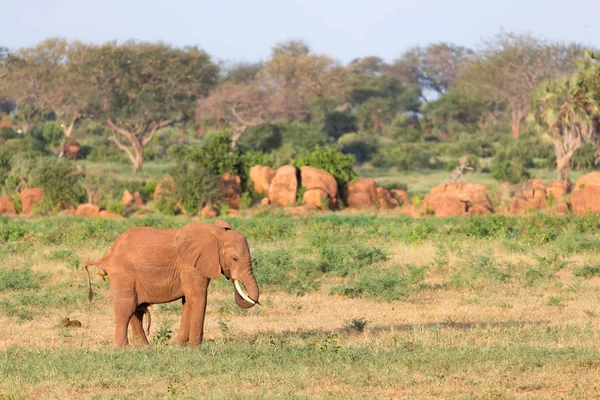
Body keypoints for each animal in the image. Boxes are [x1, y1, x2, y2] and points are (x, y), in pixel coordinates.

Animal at [84, 219, 258, 346]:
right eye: (234, 258)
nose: (233, 278)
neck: (215, 233)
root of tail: (106, 257)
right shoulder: (191, 265)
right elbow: (198, 298)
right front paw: (196, 348)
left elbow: (188, 301)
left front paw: (180, 346)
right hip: (123, 275)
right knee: (126, 308)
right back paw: (123, 349)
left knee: (135, 311)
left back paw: (145, 348)